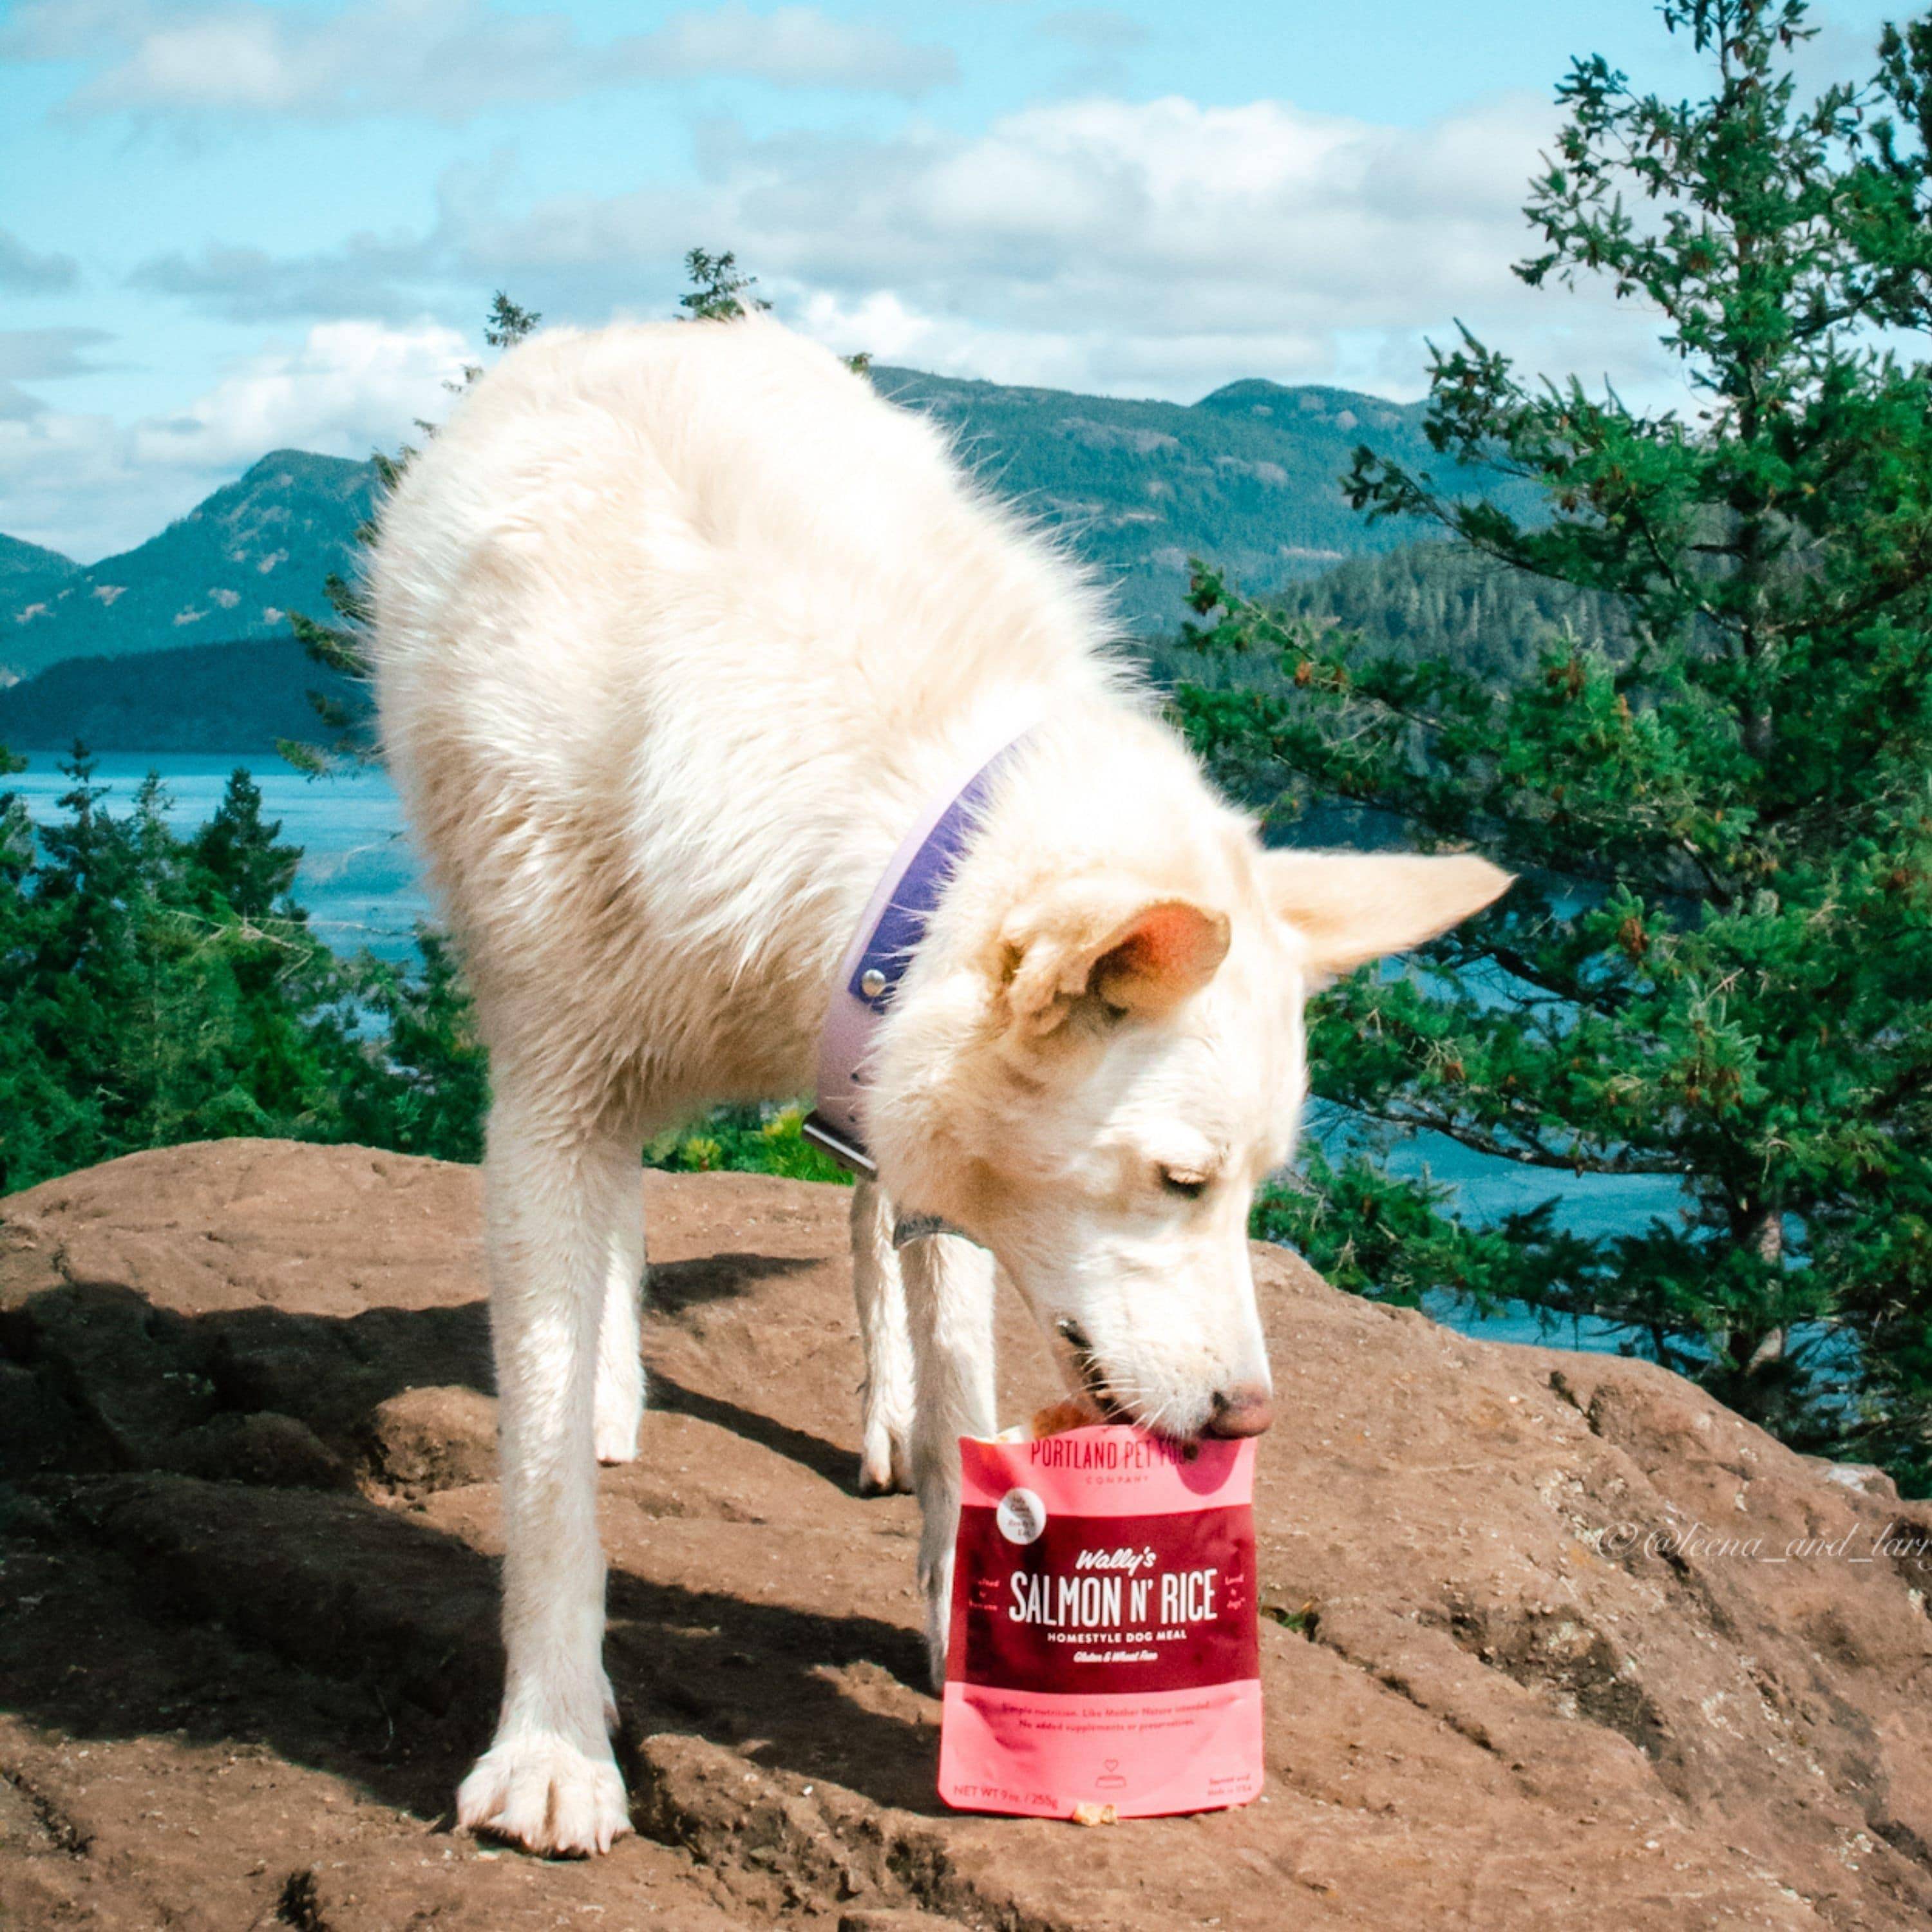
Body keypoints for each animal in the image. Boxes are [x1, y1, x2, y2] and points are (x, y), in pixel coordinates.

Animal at [365, 317, 1507, 1855]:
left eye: (1252, 1196)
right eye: (1184, 1182)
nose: (1249, 1422)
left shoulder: (904, 1110)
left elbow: (964, 1383)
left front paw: (973, 1624)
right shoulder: (554, 1086)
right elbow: (540, 1472)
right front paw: (550, 1749)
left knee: (869, 1240)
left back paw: (888, 1426)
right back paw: (616, 1399)